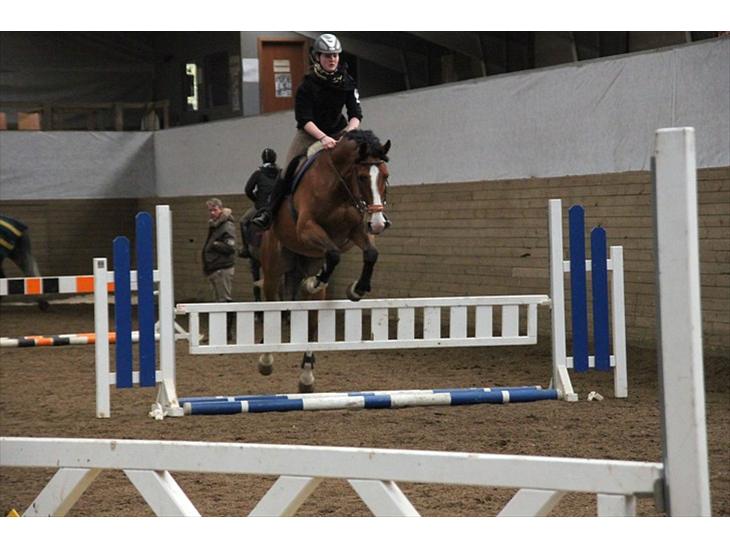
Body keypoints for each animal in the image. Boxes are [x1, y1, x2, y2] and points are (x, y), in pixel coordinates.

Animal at [257, 129, 391, 391]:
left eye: (385, 176)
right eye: (362, 177)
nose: (378, 223)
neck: (339, 188)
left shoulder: (356, 231)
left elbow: (370, 254)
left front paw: (356, 290)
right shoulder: (307, 228)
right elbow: (334, 254)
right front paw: (314, 282)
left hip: (307, 264)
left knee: (312, 320)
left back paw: (306, 376)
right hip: (272, 270)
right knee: (271, 307)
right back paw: (266, 360)